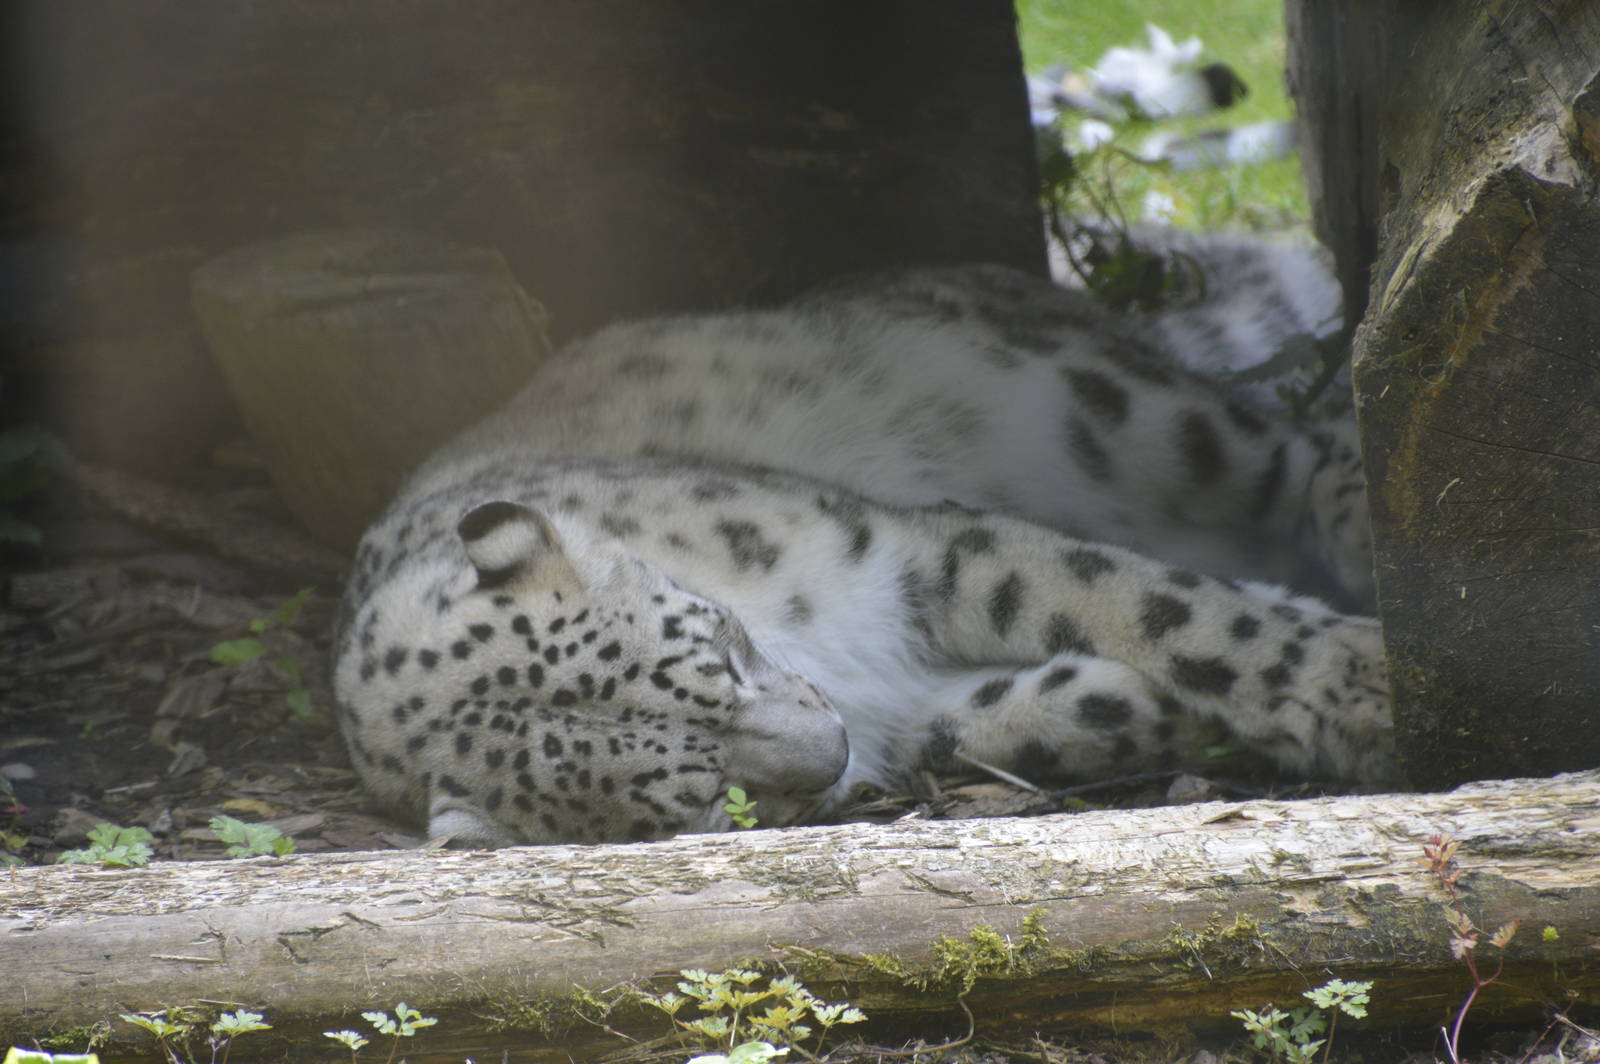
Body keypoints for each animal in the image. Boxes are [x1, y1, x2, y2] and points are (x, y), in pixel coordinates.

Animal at [332, 263, 1389, 847]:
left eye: (718, 649)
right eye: (710, 800)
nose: (829, 746)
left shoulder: (906, 545)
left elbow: (1151, 606)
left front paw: (1353, 681)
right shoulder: (900, 707)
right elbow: (966, 726)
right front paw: (1118, 701)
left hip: (1112, 403)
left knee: (1287, 440)